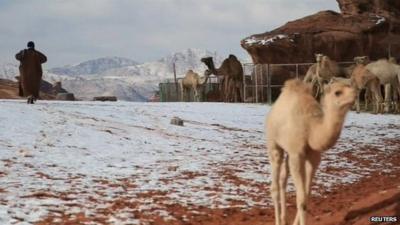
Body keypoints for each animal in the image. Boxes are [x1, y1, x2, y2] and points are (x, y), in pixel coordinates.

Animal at [266, 78, 356, 225]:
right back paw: (278, 220)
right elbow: (301, 200)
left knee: (283, 178)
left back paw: (284, 219)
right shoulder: (297, 154)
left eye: (351, 86)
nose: (355, 94)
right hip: (273, 143)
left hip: (288, 151)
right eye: (338, 92)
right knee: (274, 185)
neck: (312, 130)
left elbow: (306, 196)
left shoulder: (314, 158)